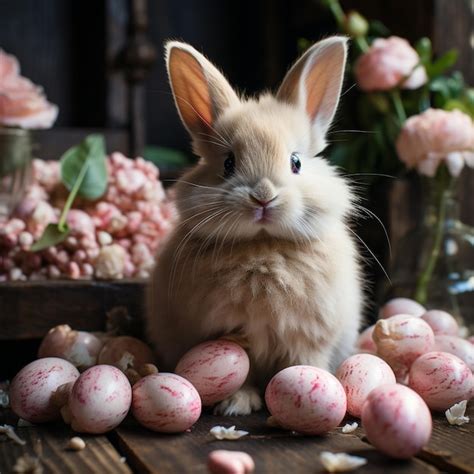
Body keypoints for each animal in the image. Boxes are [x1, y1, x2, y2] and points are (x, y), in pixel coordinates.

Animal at [148, 37, 362, 414]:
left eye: (296, 162)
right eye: (228, 164)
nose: (263, 197)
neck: (264, 246)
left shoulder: (310, 337)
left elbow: (305, 363)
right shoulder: (227, 333)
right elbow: (241, 368)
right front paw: (236, 403)